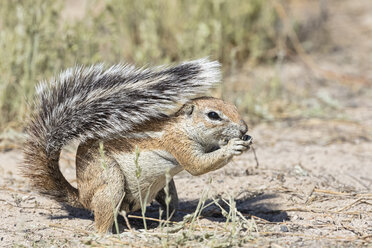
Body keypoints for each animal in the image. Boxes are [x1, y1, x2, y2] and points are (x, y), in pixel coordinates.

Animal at [23, 58, 253, 232]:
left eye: (234, 107)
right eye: (213, 115)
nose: (244, 129)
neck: (183, 126)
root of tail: (82, 197)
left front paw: (244, 141)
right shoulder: (178, 143)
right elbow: (197, 166)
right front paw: (232, 147)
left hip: (166, 187)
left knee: (168, 203)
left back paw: (169, 221)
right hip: (110, 181)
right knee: (102, 221)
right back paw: (111, 234)